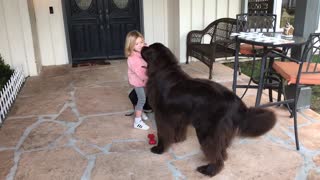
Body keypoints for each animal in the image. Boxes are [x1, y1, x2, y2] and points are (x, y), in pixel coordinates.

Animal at [141, 43, 276, 176]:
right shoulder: (179, 115)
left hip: (206, 131)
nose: (142, 47)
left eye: (148, 48)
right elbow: (178, 130)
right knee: (222, 151)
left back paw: (209, 170)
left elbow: (162, 133)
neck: (163, 70)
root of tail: (237, 102)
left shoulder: (161, 115)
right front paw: (177, 140)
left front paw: (159, 149)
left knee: (217, 156)